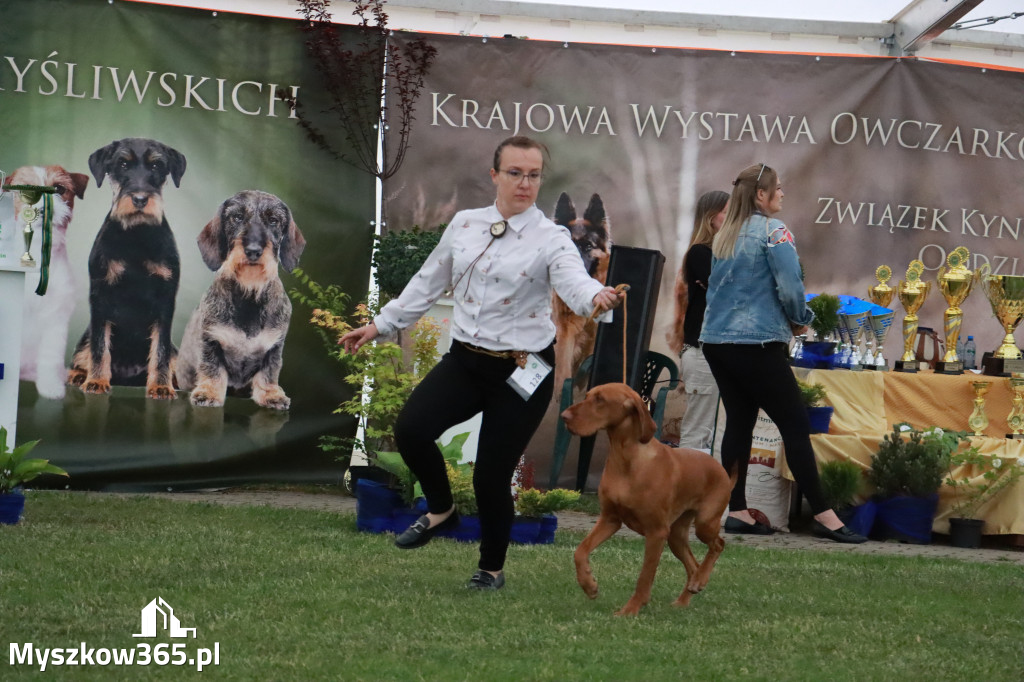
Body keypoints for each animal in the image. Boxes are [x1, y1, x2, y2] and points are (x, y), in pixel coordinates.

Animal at [561, 382, 737, 614]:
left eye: (600, 399)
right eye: (588, 395)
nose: (564, 416)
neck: (626, 459)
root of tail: (722, 470)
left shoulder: (656, 532)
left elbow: (645, 576)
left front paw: (630, 610)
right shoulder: (610, 519)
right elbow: (580, 551)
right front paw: (589, 585)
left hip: (704, 523)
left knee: (718, 544)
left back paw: (699, 581)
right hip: (676, 536)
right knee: (693, 566)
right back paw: (685, 598)